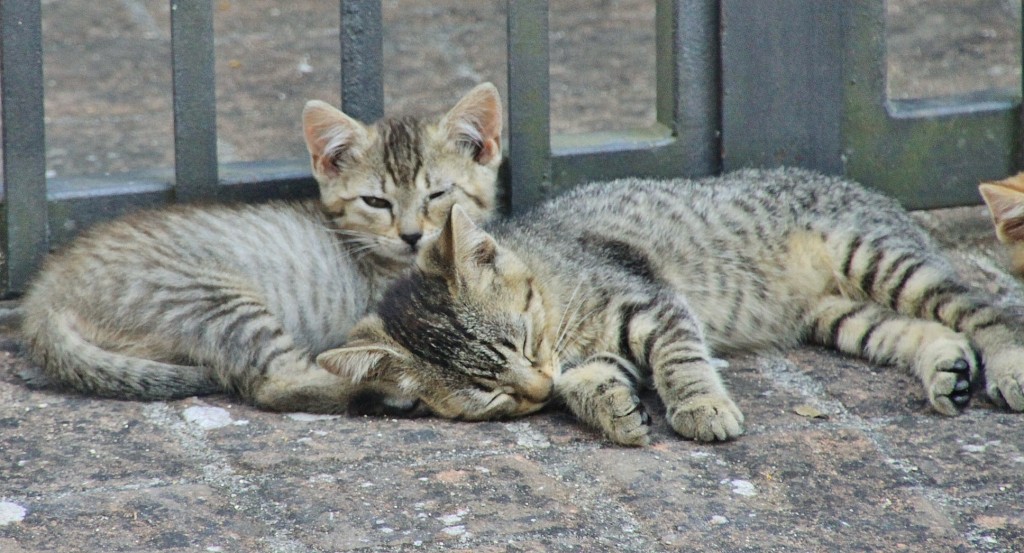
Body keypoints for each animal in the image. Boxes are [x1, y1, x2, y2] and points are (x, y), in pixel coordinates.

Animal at [20, 80, 503, 409]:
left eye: (438, 194)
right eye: (375, 202)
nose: (410, 235)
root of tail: (47, 291)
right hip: (215, 299)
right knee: (276, 384)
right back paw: (384, 390)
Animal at [317, 166, 1024, 444]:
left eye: (520, 341)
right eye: (487, 397)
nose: (534, 387)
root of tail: (874, 193)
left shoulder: (652, 301)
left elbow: (681, 358)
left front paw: (702, 407)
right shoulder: (598, 347)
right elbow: (588, 378)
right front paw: (611, 408)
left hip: (875, 258)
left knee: (981, 309)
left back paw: (1008, 366)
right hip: (839, 317)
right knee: (916, 329)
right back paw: (945, 369)